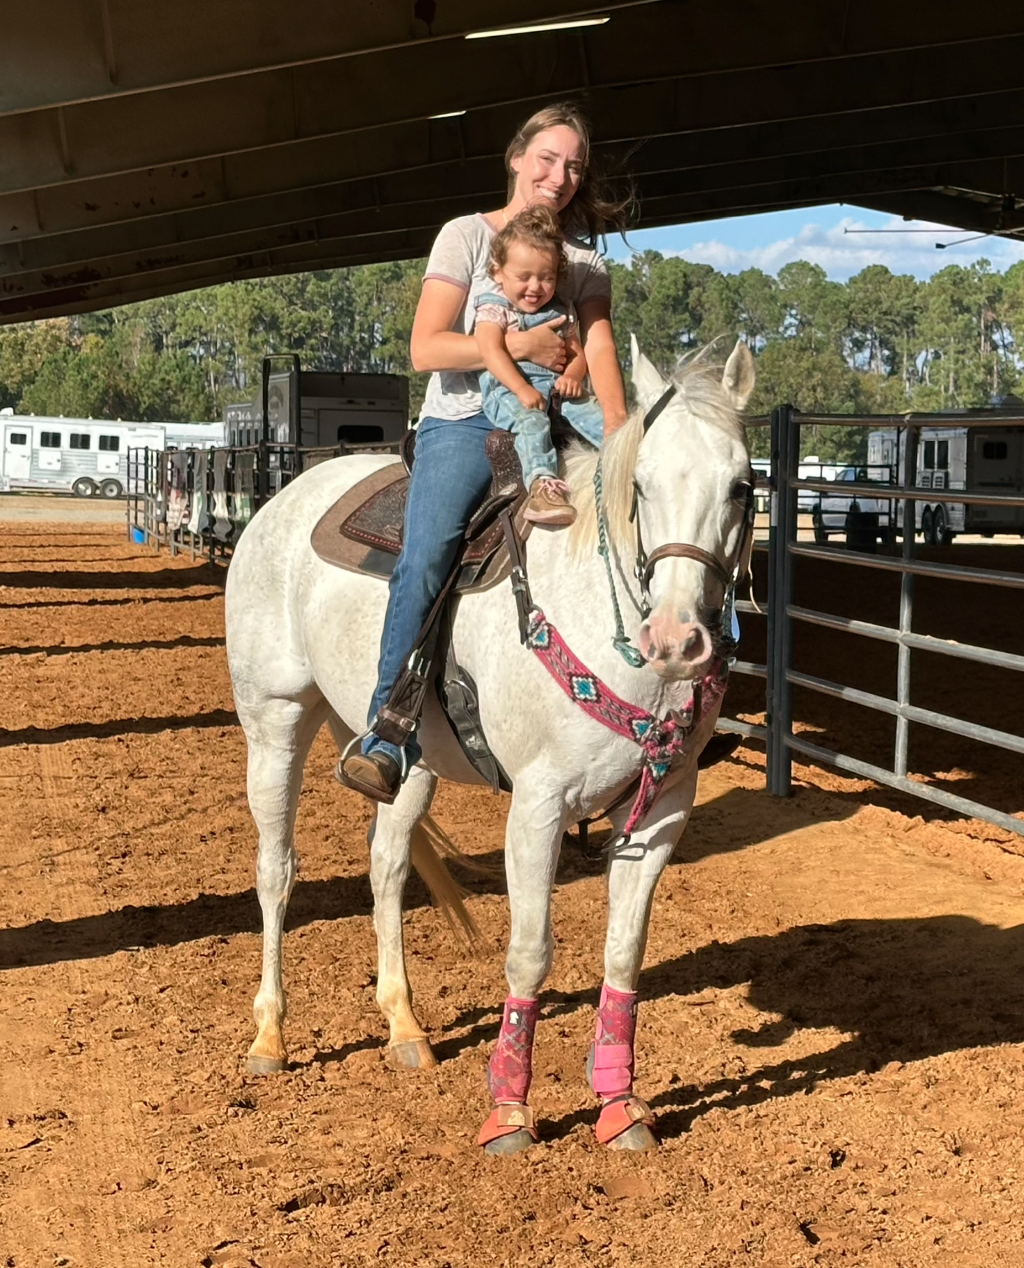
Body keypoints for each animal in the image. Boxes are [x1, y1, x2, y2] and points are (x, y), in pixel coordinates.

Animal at [224, 338, 756, 1153]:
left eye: (742, 486)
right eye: (640, 484)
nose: (675, 640)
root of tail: (284, 497)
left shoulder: (663, 809)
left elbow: (624, 952)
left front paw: (619, 1106)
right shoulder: (537, 807)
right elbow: (530, 954)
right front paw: (508, 1113)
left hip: (403, 760)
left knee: (386, 865)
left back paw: (405, 1027)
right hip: (274, 718)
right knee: (276, 871)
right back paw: (269, 1039)